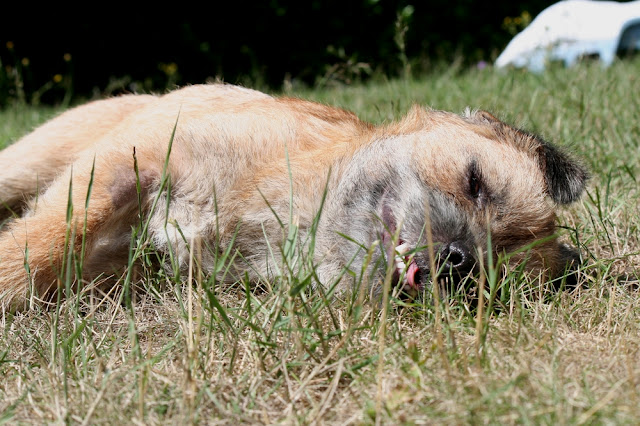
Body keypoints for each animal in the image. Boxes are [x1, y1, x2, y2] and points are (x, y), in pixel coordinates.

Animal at [0, 84, 584, 310]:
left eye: (493, 277)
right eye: (473, 181)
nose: (460, 260)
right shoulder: (129, 163)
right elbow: (45, 239)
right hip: (28, 161)